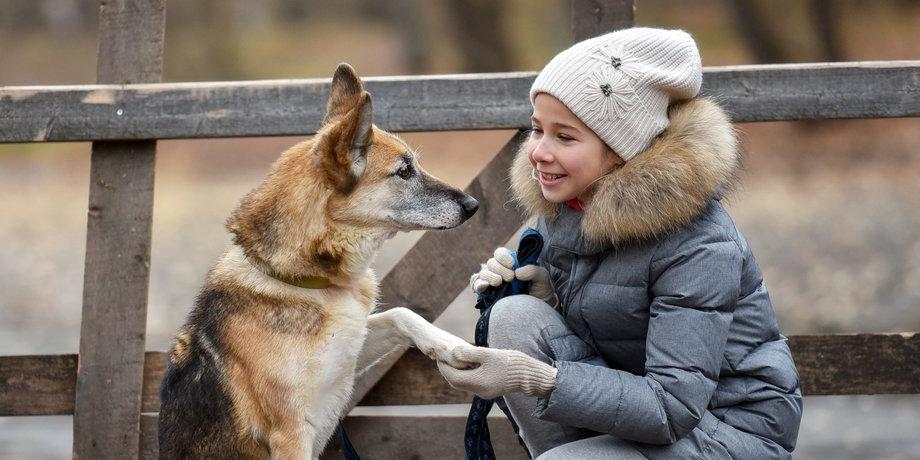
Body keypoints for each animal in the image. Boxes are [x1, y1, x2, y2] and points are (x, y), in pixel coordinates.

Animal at [157, 63, 478, 458]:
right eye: (404, 172)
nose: (473, 205)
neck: (310, 283)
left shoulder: (352, 350)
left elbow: (402, 314)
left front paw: (453, 346)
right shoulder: (292, 434)